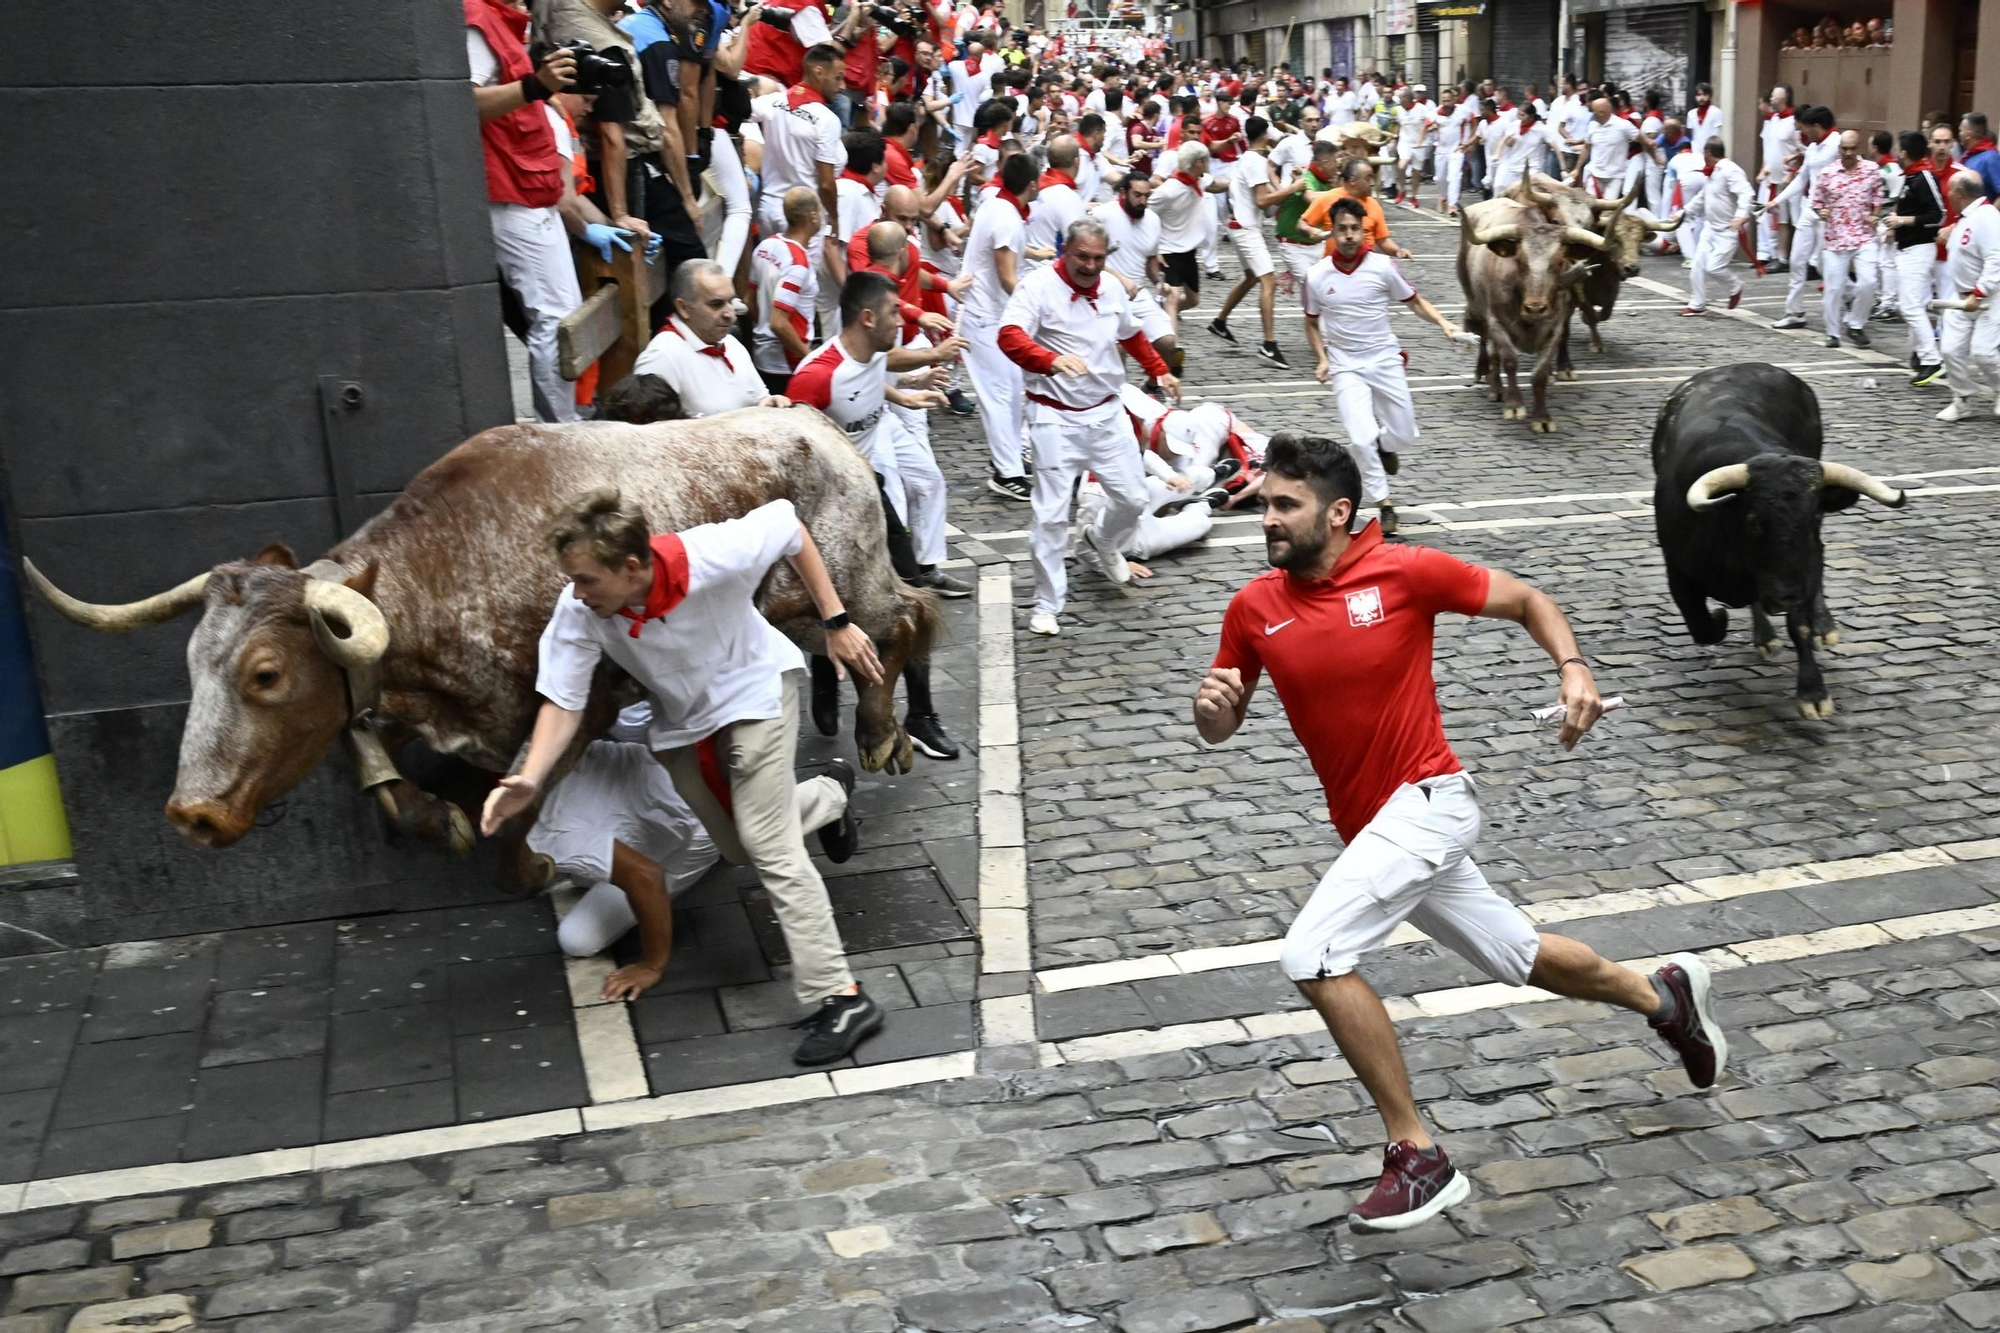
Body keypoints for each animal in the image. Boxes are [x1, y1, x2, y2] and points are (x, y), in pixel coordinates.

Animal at [25, 408, 936, 872]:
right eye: (193, 667)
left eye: (266, 673)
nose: (193, 813)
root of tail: (823, 428)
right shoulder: (405, 705)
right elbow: (381, 771)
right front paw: (444, 818)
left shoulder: (577, 703)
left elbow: (528, 802)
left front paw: (532, 862)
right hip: (797, 606)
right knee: (898, 619)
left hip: (844, 579)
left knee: (900, 619)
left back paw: (882, 733)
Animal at [1648, 364, 1912, 716]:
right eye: (1753, 521)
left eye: (1813, 516)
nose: (1786, 595)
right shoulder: (1678, 572)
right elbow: (1703, 626)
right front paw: (1721, 617)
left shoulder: (1804, 568)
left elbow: (1799, 625)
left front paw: (1813, 692)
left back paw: (1821, 626)